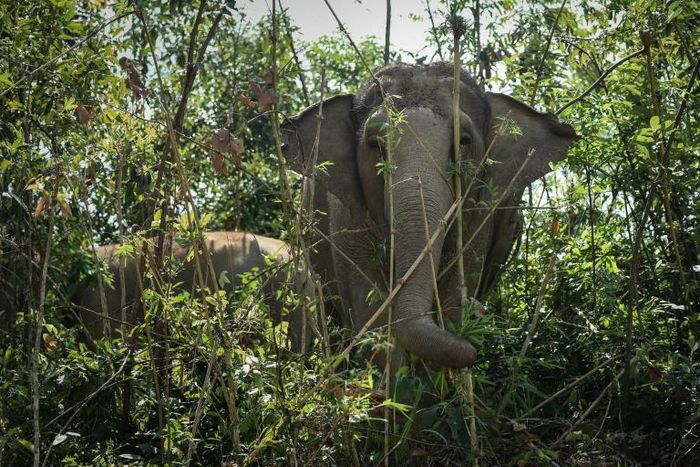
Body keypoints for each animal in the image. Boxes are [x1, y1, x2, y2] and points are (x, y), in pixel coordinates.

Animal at [281, 63, 577, 369]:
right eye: (375, 145)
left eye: (464, 141)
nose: (477, 343)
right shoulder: (348, 220)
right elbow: (372, 311)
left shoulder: (477, 221)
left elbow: (454, 295)